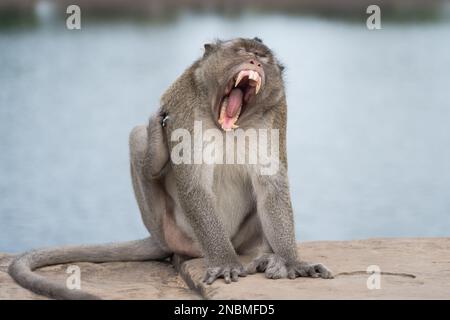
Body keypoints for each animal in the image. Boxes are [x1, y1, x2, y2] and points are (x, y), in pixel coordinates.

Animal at [6, 37, 330, 300]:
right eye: (241, 51)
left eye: (262, 57)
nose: (254, 61)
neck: (227, 124)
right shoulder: (184, 106)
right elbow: (194, 185)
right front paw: (224, 261)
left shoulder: (275, 114)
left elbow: (270, 186)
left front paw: (291, 261)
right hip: (173, 229)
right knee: (137, 136)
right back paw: (154, 148)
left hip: (241, 238)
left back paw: (265, 256)